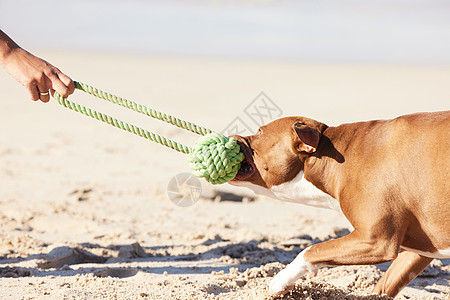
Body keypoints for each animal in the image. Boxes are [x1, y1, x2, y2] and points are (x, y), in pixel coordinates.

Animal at [230, 110, 448, 298]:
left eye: (260, 132)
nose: (231, 137)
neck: (334, 155)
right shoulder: (420, 250)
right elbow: (385, 284)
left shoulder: (376, 241)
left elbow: (310, 250)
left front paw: (281, 280)